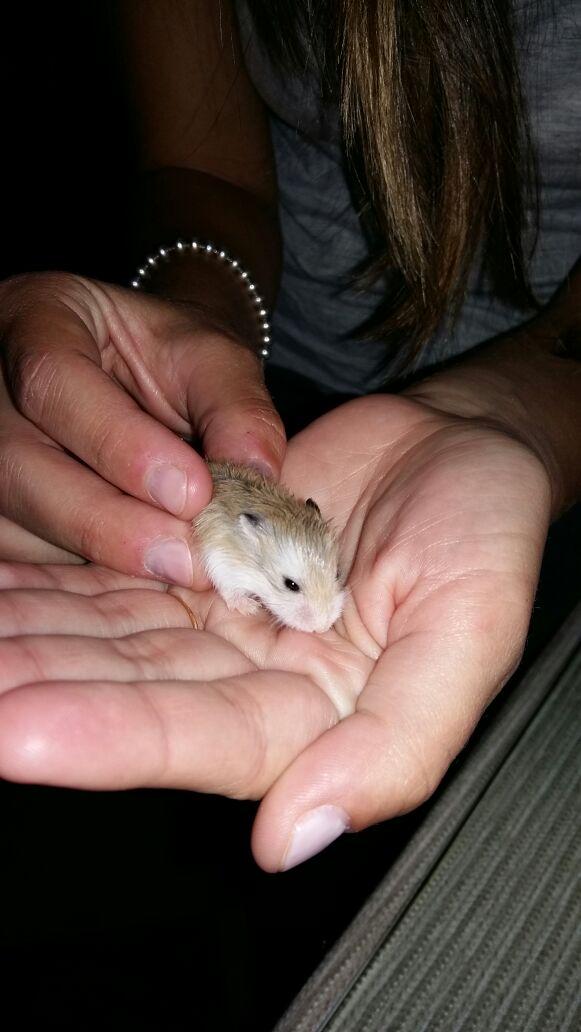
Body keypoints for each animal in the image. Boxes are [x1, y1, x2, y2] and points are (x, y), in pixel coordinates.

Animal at [193, 462, 345, 633]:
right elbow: (230, 591)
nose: (322, 628)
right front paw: (251, 608)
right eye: (291, 584)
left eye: (337, 574)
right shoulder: (221, 563)